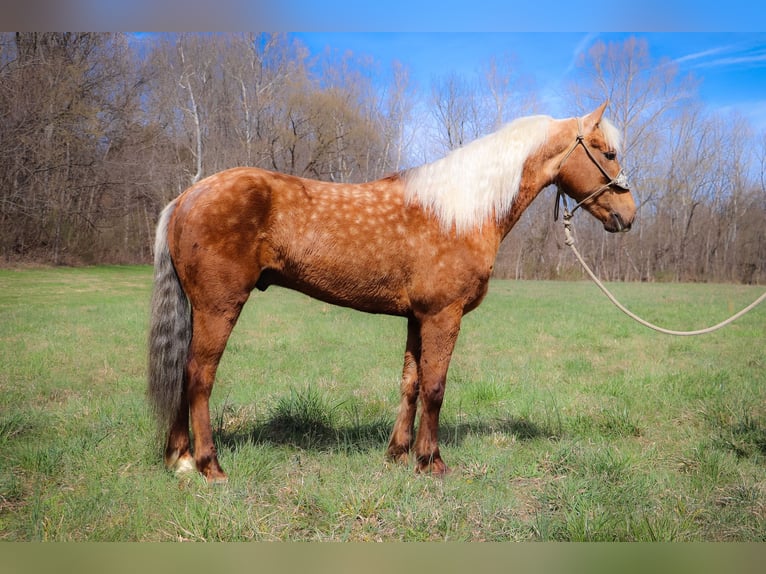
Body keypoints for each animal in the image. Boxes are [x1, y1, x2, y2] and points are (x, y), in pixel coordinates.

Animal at [147, 101, 640, 484]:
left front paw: (399, 454)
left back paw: (181, 459)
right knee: (198, 376)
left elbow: (411, 384)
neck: (461, 210)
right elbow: (436, 387)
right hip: (219, 306)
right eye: (609, 152)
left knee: (182, 373)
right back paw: (209, 466)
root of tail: (187, 196)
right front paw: (432, 462)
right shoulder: (443, 315)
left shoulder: (417, 317)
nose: (628, 214)